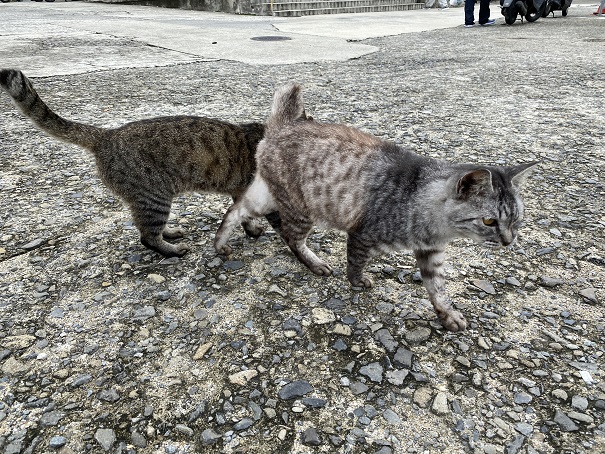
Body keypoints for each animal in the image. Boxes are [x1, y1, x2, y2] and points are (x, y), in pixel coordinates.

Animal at [0, 69, 306, 258]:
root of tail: (107, 135)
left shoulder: (241, 191)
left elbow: (244, 216)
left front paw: (251, 230)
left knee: (145, 228)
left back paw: (170, 233)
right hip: (154, 196)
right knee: (147, 235)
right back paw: (171, 249)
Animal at [215, 82, 536, 330]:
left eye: (516, 220)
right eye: (489, 221)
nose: (509, 241)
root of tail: (283, 126)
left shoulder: (431, 253)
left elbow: (437, 288)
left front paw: (447, 314)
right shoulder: (362, 234)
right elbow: (356, 261)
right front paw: (357, 282)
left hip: (268, 194)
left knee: (237, 208)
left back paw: (220, 243)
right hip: (300, 207)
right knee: (291, 238)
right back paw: (313, 262)